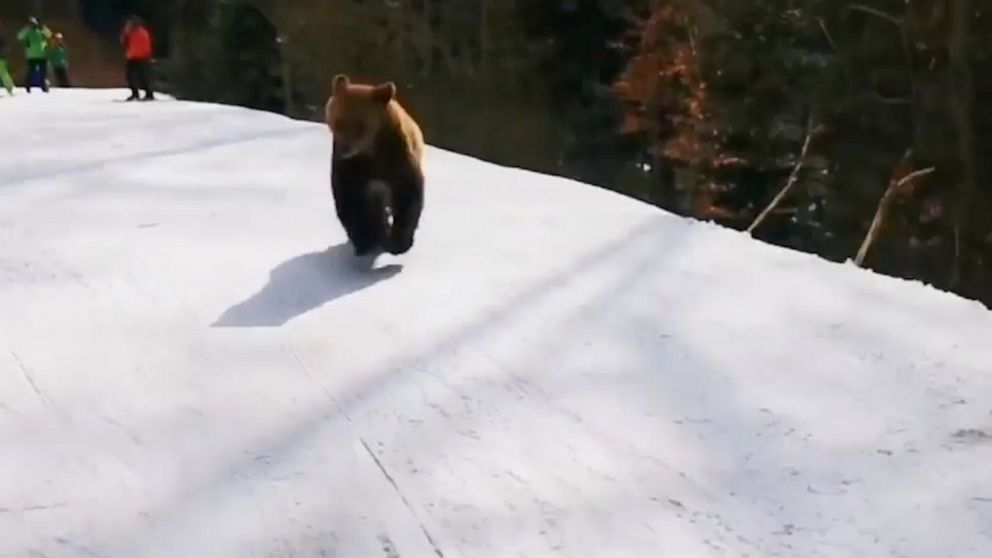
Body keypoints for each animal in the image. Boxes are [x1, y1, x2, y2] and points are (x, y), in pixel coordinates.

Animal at [322, 74, 422, 258]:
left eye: (360, 125)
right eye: (338, 121)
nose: (346, 147)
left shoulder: (398, 160)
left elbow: (407, 195)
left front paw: (398, 243)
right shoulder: (349, 167)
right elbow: (349, 199)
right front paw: (364, 239)